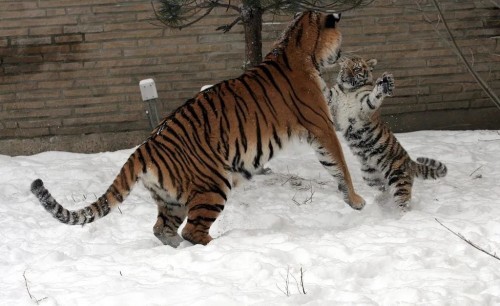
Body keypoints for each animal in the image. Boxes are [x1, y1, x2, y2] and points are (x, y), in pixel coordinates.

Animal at [33, 11, 366, 249]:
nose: (345, 53)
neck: (297, 44)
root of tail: (144, 147)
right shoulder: (321, 125)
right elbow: (340, 164)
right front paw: (356, 200)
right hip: (214, 185)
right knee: (193, 231)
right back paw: (219, 245)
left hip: (172, 199)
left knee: (162, 229)